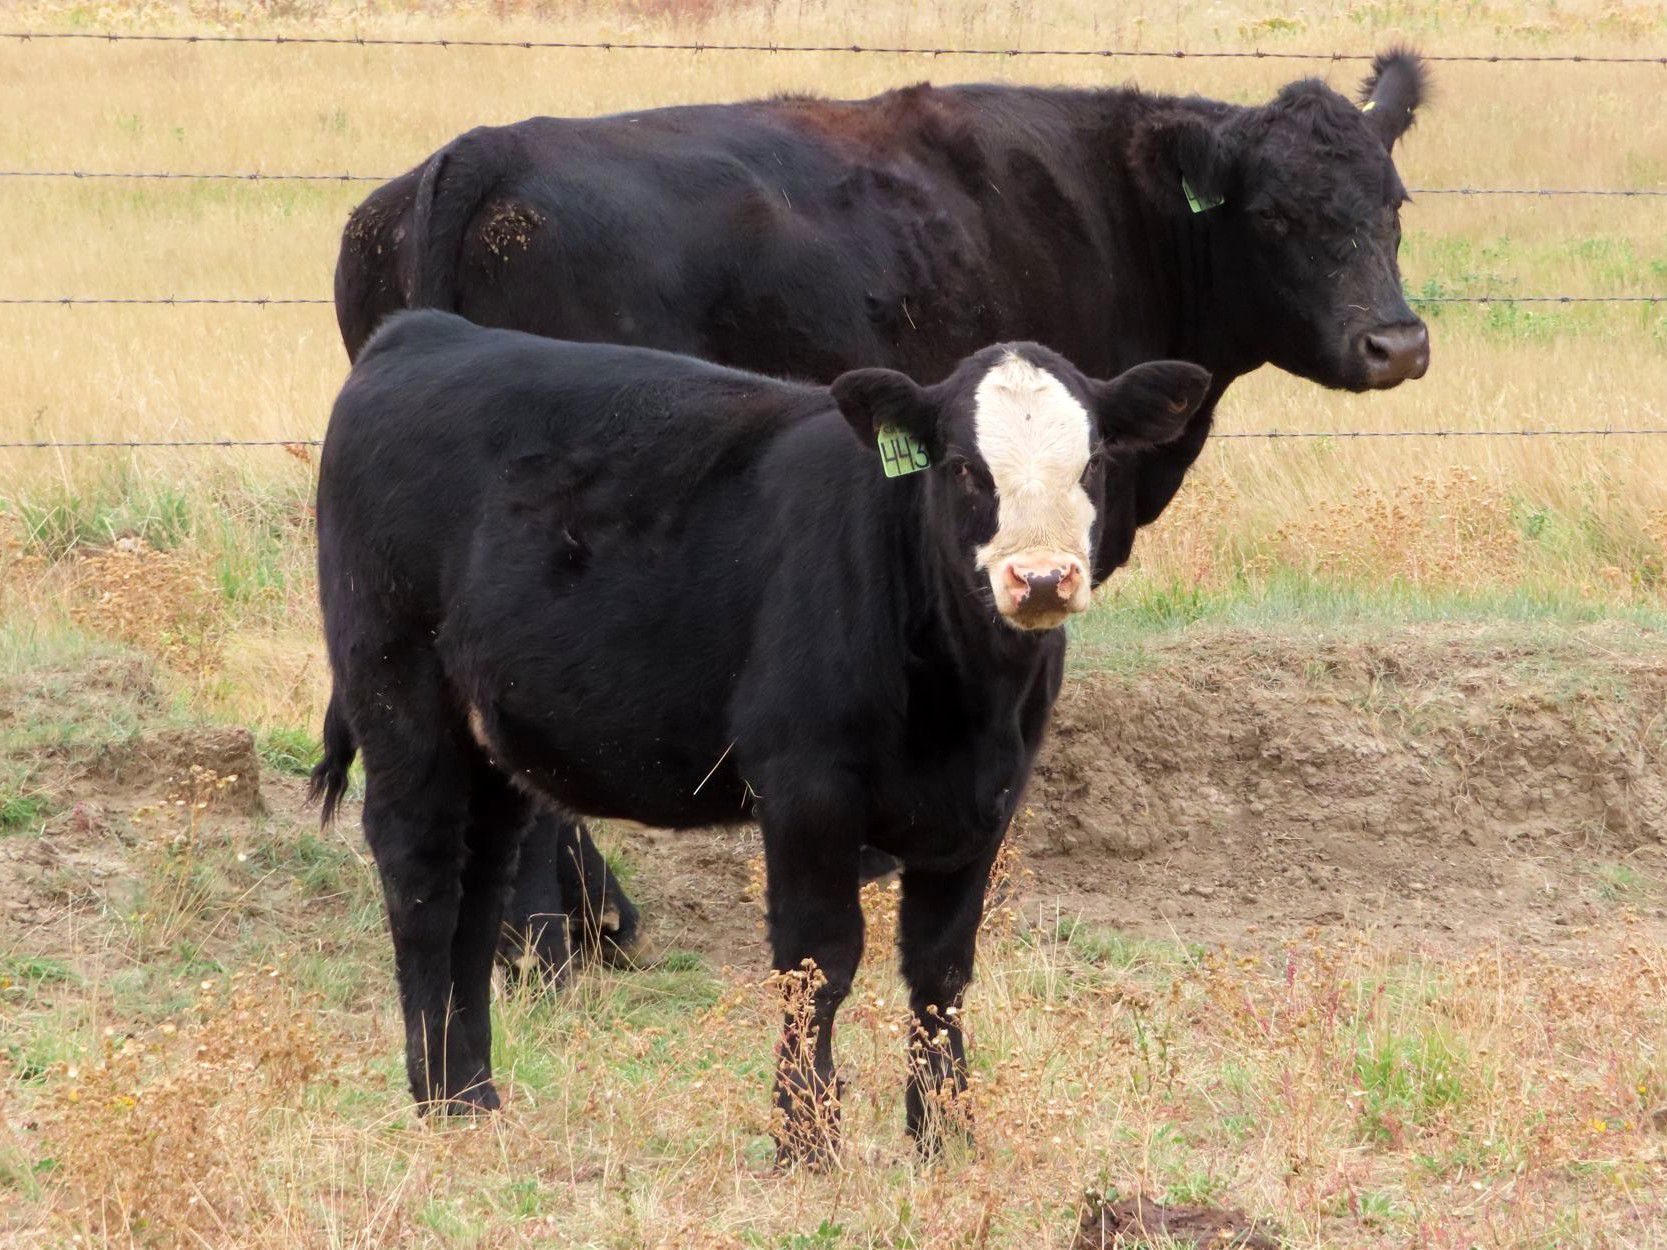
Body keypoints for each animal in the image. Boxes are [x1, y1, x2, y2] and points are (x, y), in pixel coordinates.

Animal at [312, 309, 1210, 1160]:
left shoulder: (987, 801)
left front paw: (945, 1138)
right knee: (422, 877)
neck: (963, 701)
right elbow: (818, 964)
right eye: (962, 466)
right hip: (399, 691)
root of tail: (423, 333)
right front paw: (806, 1142)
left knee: (479, 884)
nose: (1042, 578)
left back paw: (471, 1097)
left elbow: (942, 971)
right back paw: (436, 1091)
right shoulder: (808, 787)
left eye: (1090, 465)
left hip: (490, 741)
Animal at [333, 48, 1431, 972]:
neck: (1113, 211)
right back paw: (554, 937)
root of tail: (487, 150)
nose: (1395, 343)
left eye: (1393, 202)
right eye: (1276, 216)